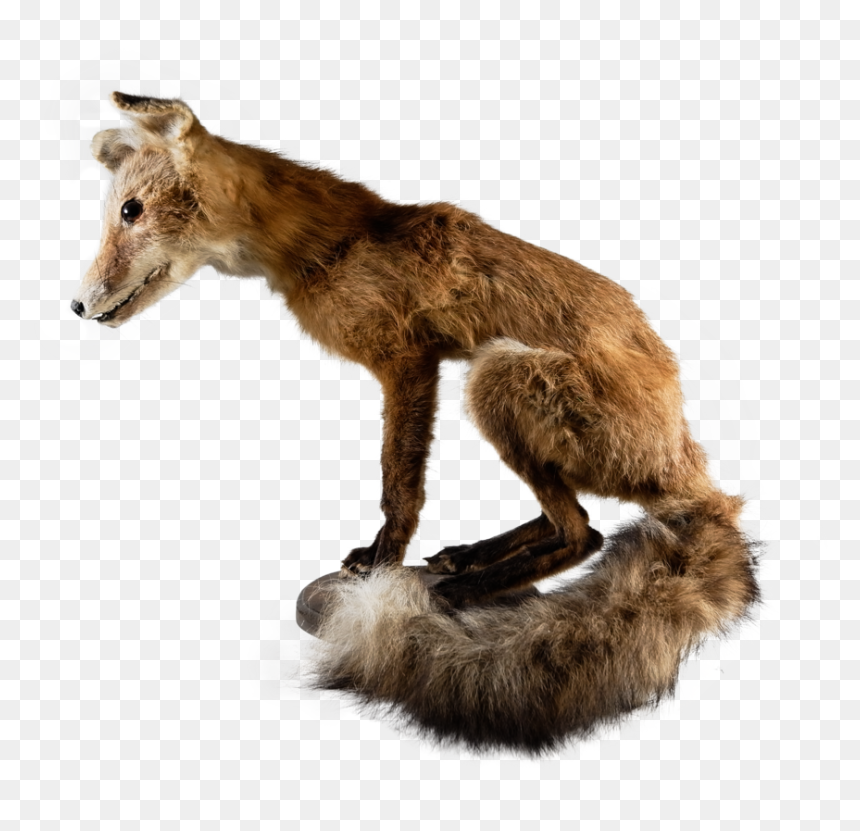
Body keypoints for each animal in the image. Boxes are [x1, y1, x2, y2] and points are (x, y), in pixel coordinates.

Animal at [73, 92, 759, 753]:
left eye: (131, 211)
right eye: (113, 214)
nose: (76, 305)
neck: (333, 245)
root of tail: (693, 472)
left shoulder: (408, 362)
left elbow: (397, 481)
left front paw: (383, 561)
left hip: (495, 375)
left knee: (582, 534)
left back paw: (466, 591)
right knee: (571, 519)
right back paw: (470, 558)